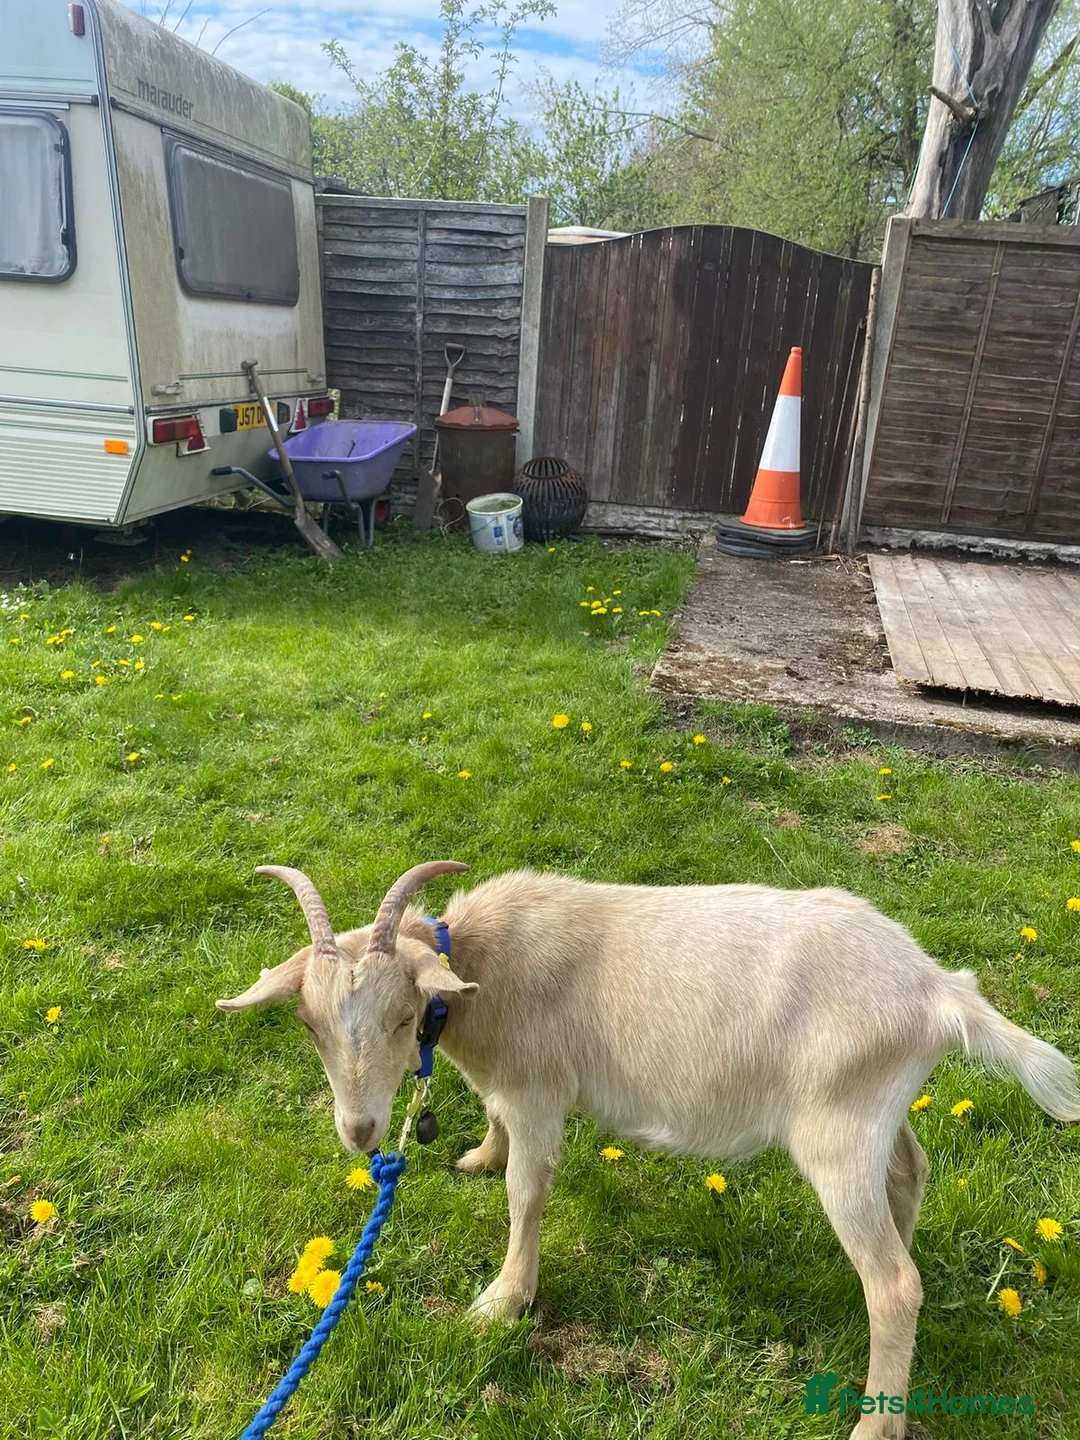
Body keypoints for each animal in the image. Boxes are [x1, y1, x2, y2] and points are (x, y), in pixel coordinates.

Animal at [218, 862, 1080, 1439]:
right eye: (309, 1023)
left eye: (402, 1016)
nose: (361, 1133)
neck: (486, 970)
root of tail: (941, 992)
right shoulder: (510, 1089)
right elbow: (498, 1139)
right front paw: (480, 1155)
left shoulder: (539, 1089)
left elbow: (528, 1193)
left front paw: (503, 1302)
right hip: (875, 1116)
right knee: (910, 1178)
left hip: (836, 1132)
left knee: (896, 1285)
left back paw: (875, 1422)